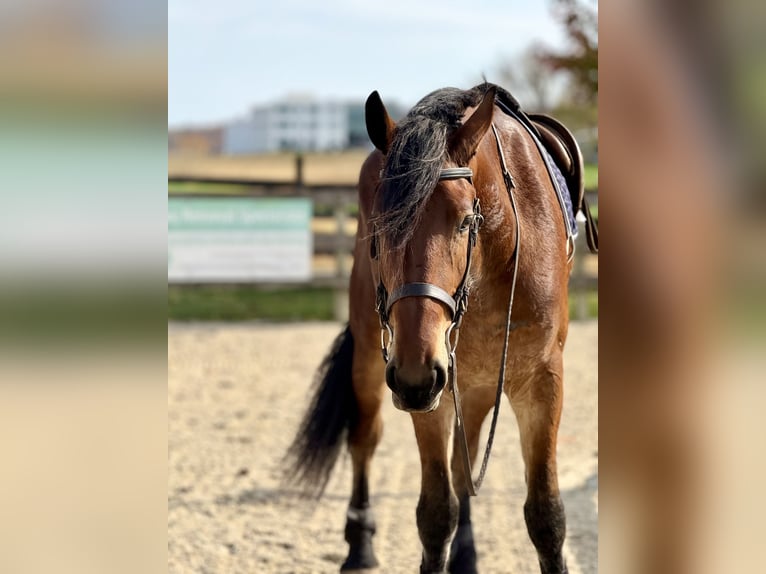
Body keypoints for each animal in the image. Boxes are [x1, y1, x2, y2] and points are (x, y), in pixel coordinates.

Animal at [287, 83, 590, 574]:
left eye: (466, 220)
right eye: (380, 226)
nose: (416, 372)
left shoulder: (541, 382)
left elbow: (546, 516)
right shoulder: (425, 386)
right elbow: (434, 514)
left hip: (471, 384)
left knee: (463, 467)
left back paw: (465, 554)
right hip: (373, 356)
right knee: (365, 438)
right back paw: (360, 543)